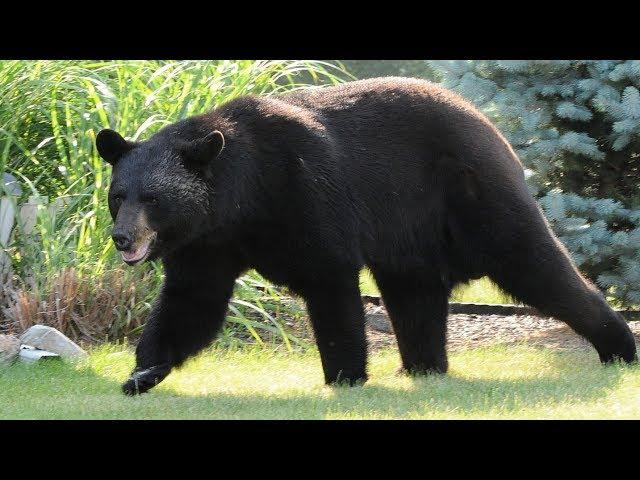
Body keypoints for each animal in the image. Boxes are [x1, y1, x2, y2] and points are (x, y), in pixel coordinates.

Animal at [96, 78, 640, 394]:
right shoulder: (206, 245)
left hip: (473, 193)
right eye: (119, 195)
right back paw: (422, 366)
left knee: (534, 263)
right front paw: (142, 373)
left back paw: (618, 345)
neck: (242, 198)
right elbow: (192, 301)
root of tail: (490, 125)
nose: (122, 238)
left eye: (152, 198)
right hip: (411, 231)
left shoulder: (304, 194)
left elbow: (330, 279)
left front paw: (344, 375)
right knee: (414, 293)